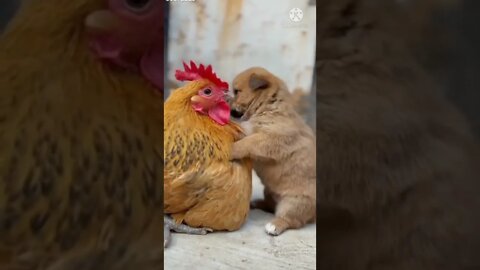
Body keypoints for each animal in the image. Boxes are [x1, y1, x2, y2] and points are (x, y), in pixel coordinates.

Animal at [231, 66, 316, 235]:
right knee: (270, 205)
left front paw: (232, 149)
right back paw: (257, 203)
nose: (229, 108)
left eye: (237, 92)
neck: (268, 106)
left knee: (291, 220)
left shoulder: (268, 138)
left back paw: (274, 225)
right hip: (269, 191)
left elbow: (247, 141)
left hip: (294, 203)